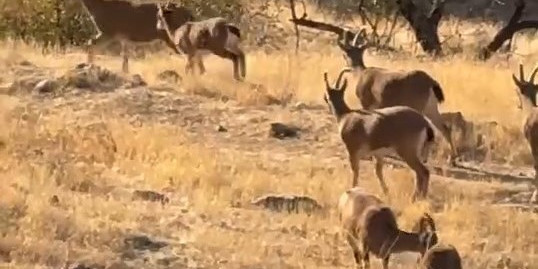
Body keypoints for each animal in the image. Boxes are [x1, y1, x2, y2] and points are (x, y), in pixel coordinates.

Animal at [320, 69, 434, 199]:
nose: (325, 98)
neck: (346, 116)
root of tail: (424, 122)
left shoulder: (353, 151)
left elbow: (355, 171)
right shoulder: (378, 154)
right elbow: (378, 172)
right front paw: (386, 192)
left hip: (407, 152)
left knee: (423, 172)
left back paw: (415, 198)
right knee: (421, 173)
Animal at [336, 31, 456, 163]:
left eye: (344, 54)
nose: (346, 66)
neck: (360, 74)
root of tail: (431, 82)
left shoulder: (366, 103)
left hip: (419, 106)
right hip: (431, 108)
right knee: (444, 127)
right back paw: (451, 159)